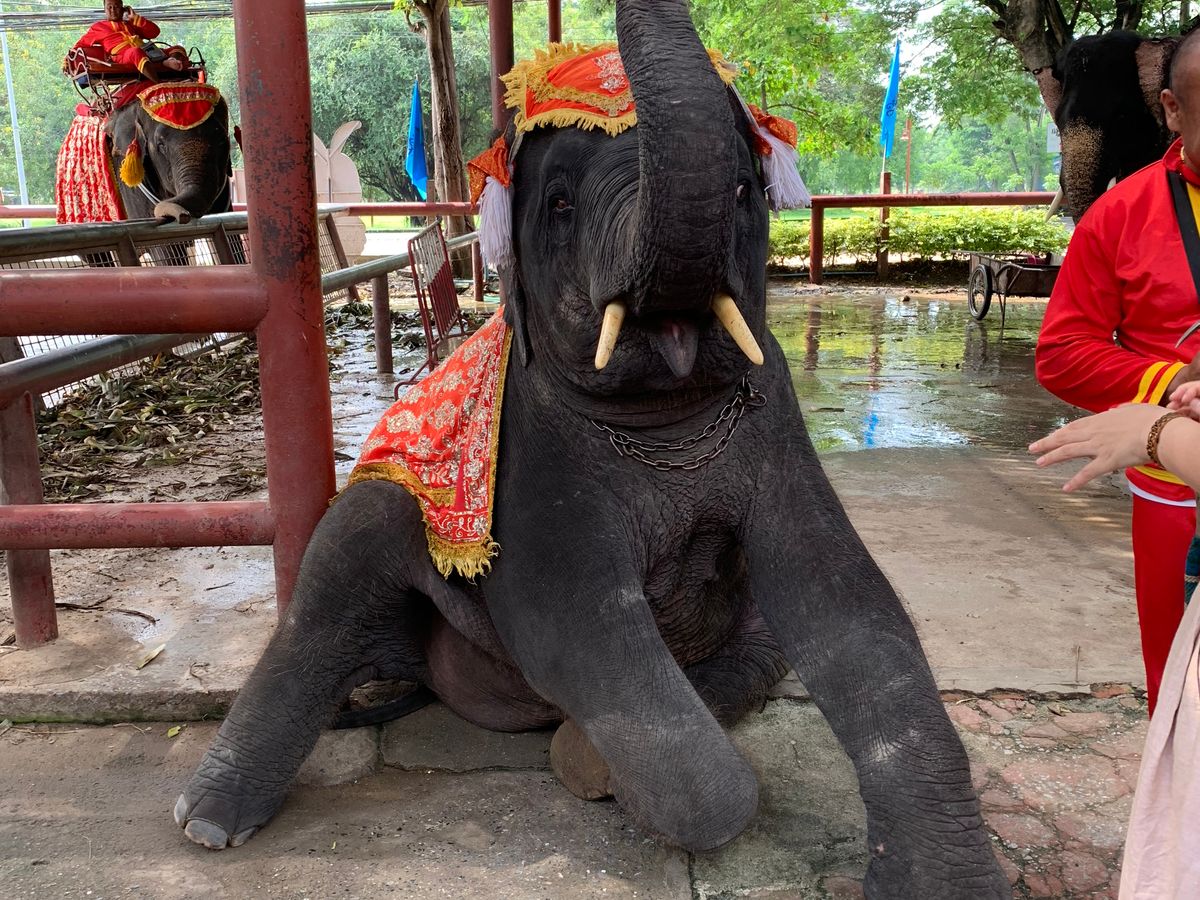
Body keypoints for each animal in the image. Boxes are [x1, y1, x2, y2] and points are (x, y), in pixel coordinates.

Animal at [172, 2, 1008, 895]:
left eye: (746, 189)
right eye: (561, 202)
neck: (660, 420)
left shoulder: (775, 409)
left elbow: (848, 601)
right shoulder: (532, 452)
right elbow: (569, 620)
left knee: (763, 640)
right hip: (397, 518)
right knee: (350, 547)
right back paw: (209, 824)